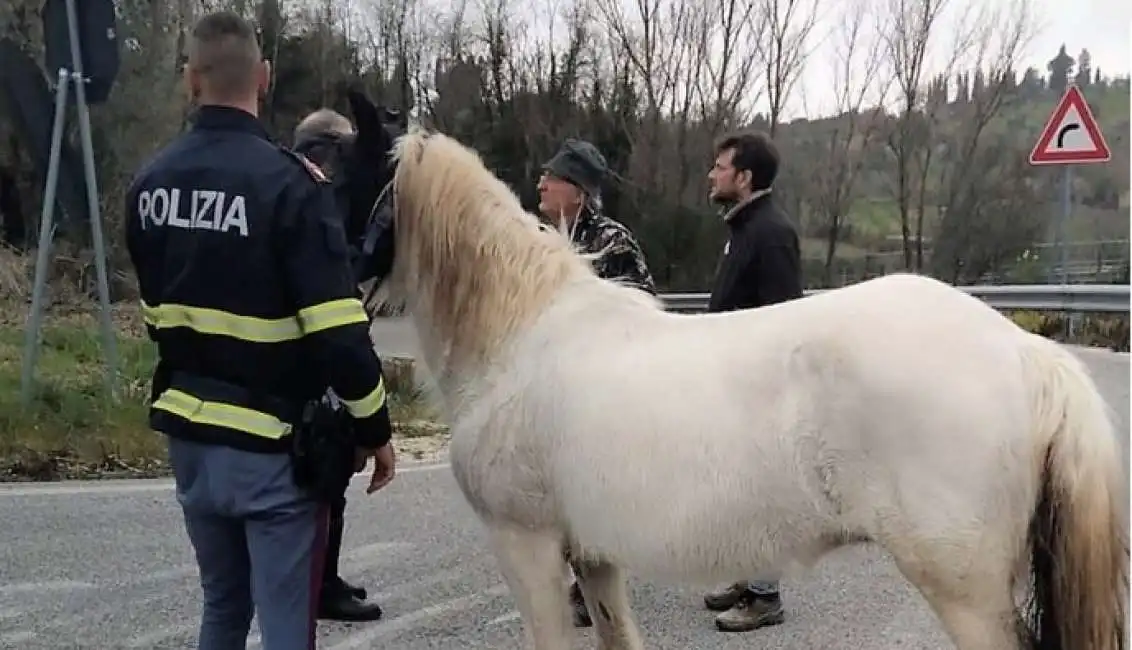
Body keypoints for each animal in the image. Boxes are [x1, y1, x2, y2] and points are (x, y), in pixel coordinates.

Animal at [362, 123, 1122, 650]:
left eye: (354, 179)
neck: (519, 334)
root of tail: (1028, 352)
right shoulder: (594, 556)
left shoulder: (527, 545)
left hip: (966, 591)